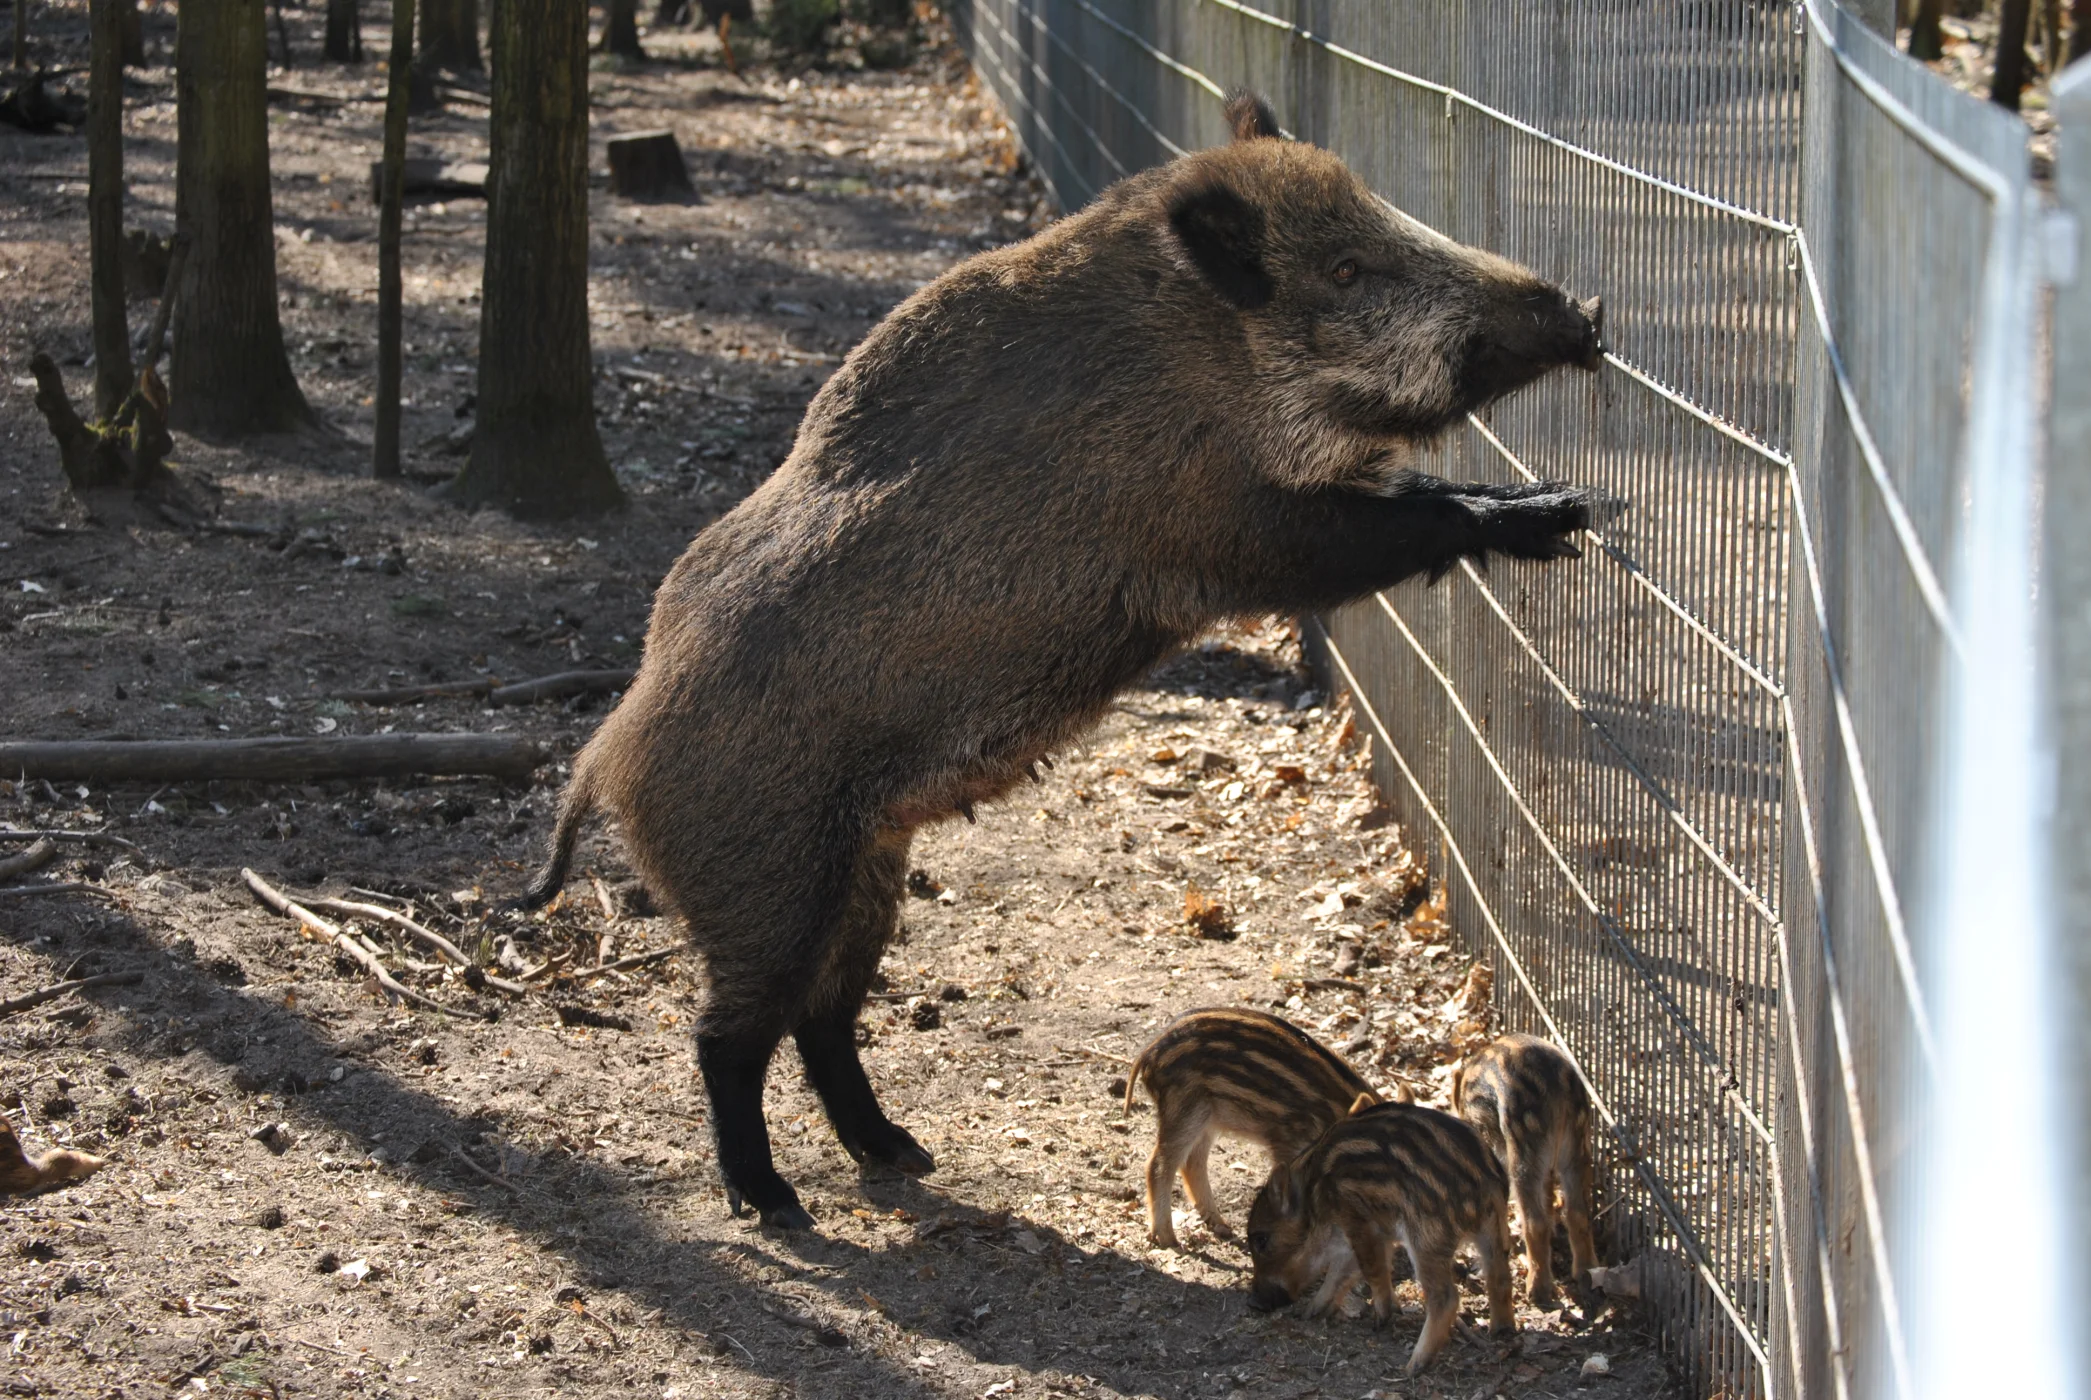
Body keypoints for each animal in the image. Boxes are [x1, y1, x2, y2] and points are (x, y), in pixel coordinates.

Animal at [1124, 1007, 1387, 1247]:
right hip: (1185, 1109)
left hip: (1209, 1119)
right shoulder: (1287, 1144)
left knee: (1192, 1163)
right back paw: (1168, 1239)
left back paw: (1222, 1227)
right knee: (1159, 1165)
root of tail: (1147, 1054)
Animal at [1244, 1100, 1515, 1375]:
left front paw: (1381, 1319)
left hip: (1427, 1236)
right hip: (1492, 1230)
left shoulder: (1359, 1221)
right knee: (1500, 1278)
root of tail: (1488, 1180)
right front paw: (1312, 1312)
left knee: (1445, 1298)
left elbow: (1370, 1268)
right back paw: (1501, 1331)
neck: (1315, 1197)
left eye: (1261, 1240)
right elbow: (1342, 1272)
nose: (1253, 1303)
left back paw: (1413, 1366)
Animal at [1452, 1032, 1599, 1304]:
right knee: (1577, 1212)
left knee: (1535, 1221)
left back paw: (1537, 1290)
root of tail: (1557, 1086)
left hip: (1523, 1151)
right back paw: (1586, 1273)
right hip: (1577, 1145)